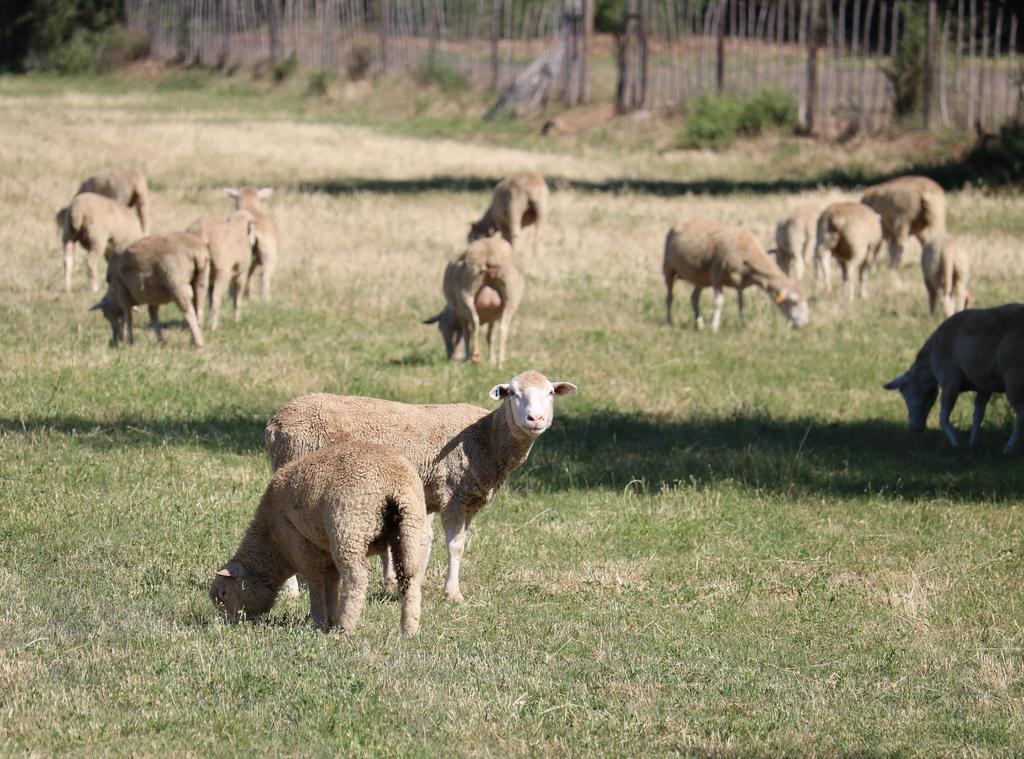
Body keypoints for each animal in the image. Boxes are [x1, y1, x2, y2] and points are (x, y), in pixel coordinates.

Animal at [211, 438, 428, 635]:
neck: (273, 543)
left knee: (357, 577)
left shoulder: (302, 547)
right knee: (410, 578)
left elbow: (315, 584)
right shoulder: (327, 555)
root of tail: (394, 482)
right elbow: (330, 585)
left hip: (349, 530)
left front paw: (319, 622)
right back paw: (409, 629)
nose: (225, 625)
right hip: (410, 531)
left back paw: (345, 627)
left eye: (224, 593)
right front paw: (329, 619)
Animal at [264, 370, 577, 602]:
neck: (487, 437)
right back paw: (292, 591)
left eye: (550, 393)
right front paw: (453, 594)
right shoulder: (453, 495)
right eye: (512, 393)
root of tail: (275, 423)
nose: (535, 419)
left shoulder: (467, 501)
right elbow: (455, 546)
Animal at [659, 216, 811, 327]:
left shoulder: (740, 282)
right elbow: (719, 302)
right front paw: (715, 327)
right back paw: (669, 321)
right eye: (794, 302)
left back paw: (699, 324)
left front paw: (743, 323)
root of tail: (679, 222)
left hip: (700, 278)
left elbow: (741, 304)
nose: (804, 324)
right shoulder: (716, 275)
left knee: (694, 298)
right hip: (669, 268)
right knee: (669, 297)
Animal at [880, 303, 1024, 456]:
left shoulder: (950, 381)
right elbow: (977, 415)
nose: (915, 429)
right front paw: (973, 444)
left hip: (1014, 377)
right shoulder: (983, 385)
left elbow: (943, 418)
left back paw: (1009, 449)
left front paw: (957, 444)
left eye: (904, 393)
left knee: (1021, 416)